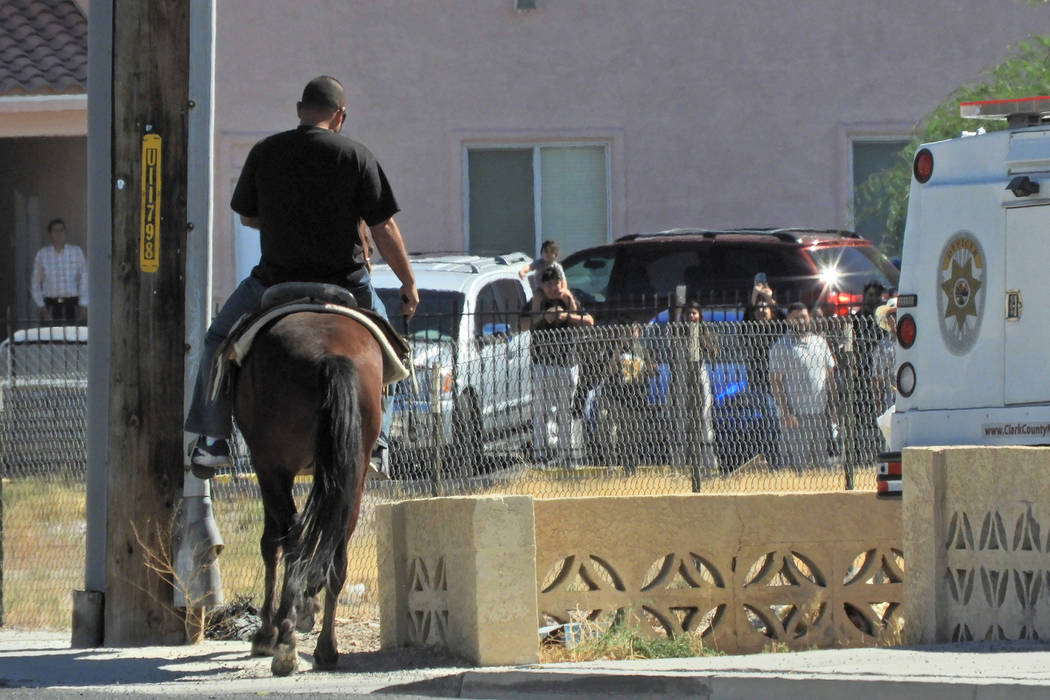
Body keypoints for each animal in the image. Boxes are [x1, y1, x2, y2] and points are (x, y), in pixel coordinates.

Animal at [233, 310, 382, 671]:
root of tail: (330, 354)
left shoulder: (267, 468)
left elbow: (270, 542)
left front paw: (266, 633)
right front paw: (306, 607)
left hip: (275, 464)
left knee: (291, 537)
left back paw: (285, 637)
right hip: (354, 470)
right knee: (338, 550)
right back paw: (326, 648)